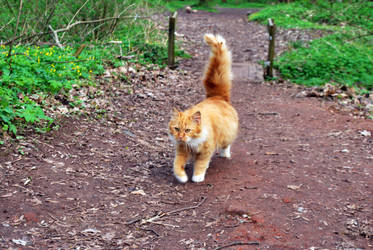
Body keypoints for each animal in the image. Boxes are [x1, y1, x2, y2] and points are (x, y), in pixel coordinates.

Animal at [169, 33, 238, 183]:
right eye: (177, 129)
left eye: (187, 130)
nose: (180, 137)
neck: (191, 143)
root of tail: (217, 97)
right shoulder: (181, 150)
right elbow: (177, 165)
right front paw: (182, 177)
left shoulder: (206, 151)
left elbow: (201, 165)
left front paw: (197, 177)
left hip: (227, 135)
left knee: (226, 145)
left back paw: (225, 154)